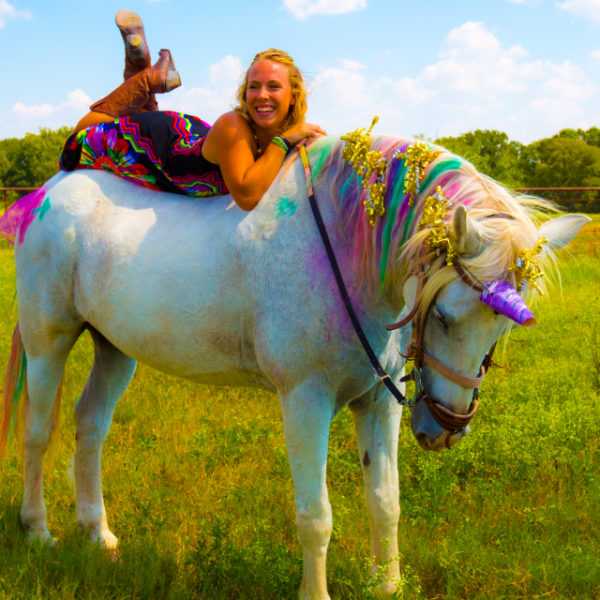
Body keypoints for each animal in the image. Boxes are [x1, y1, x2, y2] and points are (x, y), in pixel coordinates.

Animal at [0, 136, 592, 600]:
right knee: (38, 432)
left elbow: (386, 501)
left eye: (504, 330)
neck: (348, 256)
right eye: (442, 315)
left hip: (114, 347)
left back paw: (97, 534)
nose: (444, 428)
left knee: (90, 427)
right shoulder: (305, 402)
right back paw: (39, 530)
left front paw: (386, 584)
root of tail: (48, 191)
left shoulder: (378, 403)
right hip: (49, 340)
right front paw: (317, 592)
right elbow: (316, 517)